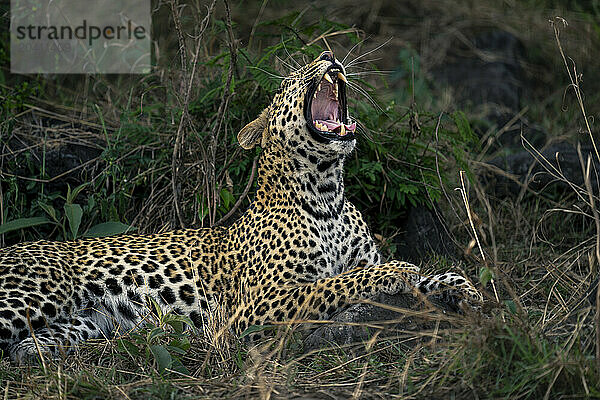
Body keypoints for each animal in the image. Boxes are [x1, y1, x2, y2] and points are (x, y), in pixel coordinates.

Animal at [0, 50, 482, 362]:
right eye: (292, 78)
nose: (330, 57)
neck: (328, 194)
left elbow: (429, 275)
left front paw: (466, 291)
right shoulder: (257, 306)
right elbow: (336, 282)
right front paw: (399, 270)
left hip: (80, 322)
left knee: (28, 345)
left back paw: (33, 355)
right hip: (30, 294)